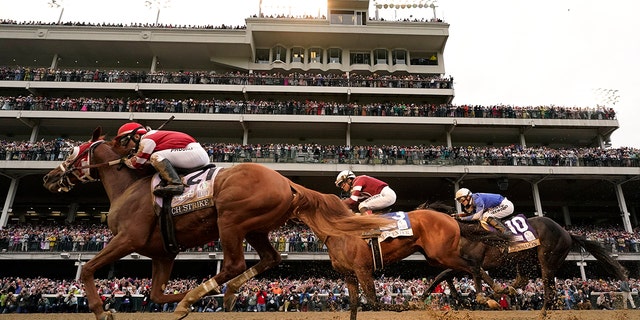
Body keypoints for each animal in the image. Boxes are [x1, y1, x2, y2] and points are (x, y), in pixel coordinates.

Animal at [41, 127, 390, 320]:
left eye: (72, 153)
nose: (49, 177)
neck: (129, 187)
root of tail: (287, 182)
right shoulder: (163, 253)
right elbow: (156, 295)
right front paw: (188, 299)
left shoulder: (127, 238)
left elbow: (88, 268)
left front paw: (102, 310)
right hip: (255, 227)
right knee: (269, 258)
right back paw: (223, 293)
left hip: (231, 220)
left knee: (235, 263)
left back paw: (203, 295)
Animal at [294, 209, 510, 318]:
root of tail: (450, 219)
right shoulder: (350, 274)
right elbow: (356, 305)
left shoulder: (362, 269)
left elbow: (374, 302)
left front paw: (408, 305)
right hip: (438, 255)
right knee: (461, 270)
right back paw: (496, 291)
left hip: (442, 254)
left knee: (472, 266)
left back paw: (487, 295)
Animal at [418, 201, 628, 314]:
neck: (463, 231)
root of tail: (567, 232)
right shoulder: (459, 262)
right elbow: (443, 275)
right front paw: (421, 299)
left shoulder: (473, 261)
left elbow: (475, 274)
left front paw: (488, 294)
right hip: (525, 259)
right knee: (524, 280)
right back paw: (506, 292)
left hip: (547, 260)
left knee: (549, 290)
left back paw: (539, 311)